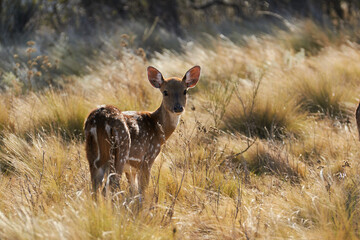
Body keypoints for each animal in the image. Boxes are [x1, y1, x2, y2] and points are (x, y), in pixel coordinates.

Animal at [85, 65, 201, 195]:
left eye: (185, 91)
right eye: (165, 92)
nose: (178, 108)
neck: (159, 129)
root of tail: (99, 120)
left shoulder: (131, 169)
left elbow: (134, 191)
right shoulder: (147, 158)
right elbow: (142, 190)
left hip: (92, 156)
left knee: (94, 189)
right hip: (120, 151)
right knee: (109, 187)